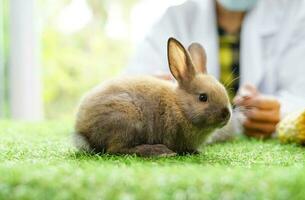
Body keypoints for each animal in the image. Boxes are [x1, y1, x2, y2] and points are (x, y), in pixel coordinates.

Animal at [73, 37, 230, 156]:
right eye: (203, 97)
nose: (226, 114)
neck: (180, 106)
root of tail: (83, 131)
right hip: (126, 120)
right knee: (116, 149)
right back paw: (159, 151)